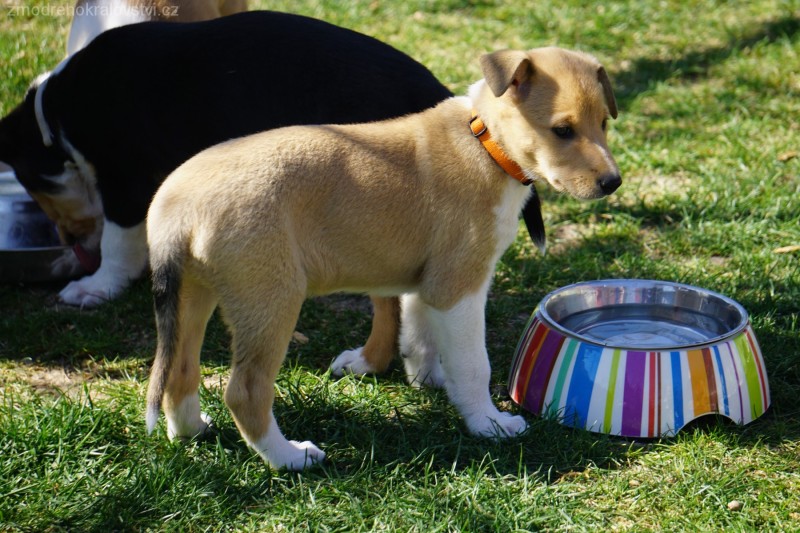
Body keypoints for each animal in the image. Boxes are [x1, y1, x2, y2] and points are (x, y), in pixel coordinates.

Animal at [0, 10, 450, 306]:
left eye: (30, 183)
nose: (72, 244)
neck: (54, 112)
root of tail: (435, 93)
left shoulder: (125, 180)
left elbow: (117, 241)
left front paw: (96, 285)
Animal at [144, 46, 620, 470]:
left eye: (603, 123)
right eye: (562, 130)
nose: (613, 183)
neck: (485, 144)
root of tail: (176, 208)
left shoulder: (426, 283)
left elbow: (418, 336)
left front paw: (428, 381)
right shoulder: (459, 286)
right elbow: (473, 364)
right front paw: (489, 425)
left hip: (193, 295)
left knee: (177, 374)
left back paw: (192, 430)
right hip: (271, 298)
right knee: (245, 391)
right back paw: (290, 458)